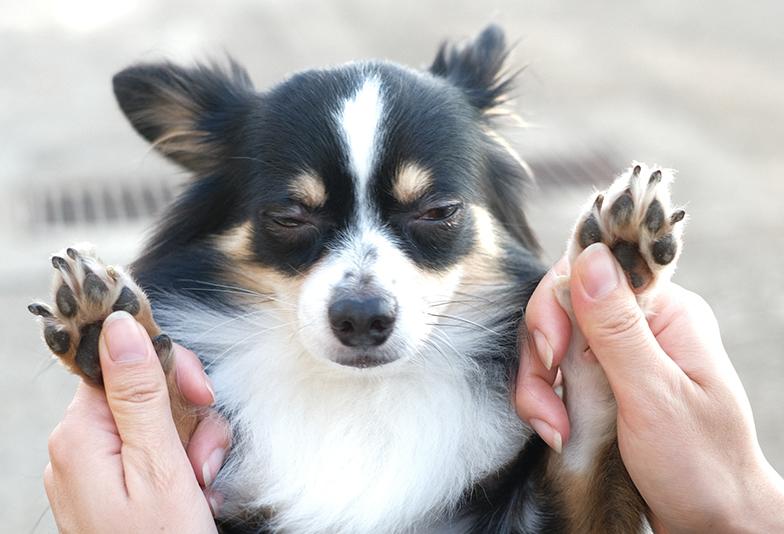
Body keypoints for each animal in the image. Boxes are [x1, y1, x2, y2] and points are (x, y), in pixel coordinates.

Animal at [32, 26, 688, 534]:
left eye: (438, 212)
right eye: (289, 217)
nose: (362, 317)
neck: (358, 397)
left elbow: (592, 439)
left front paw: (611, 272)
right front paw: (112, 330)